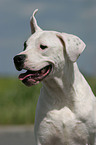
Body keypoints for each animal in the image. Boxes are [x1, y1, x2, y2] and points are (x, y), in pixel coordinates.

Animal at [13, 9, 96, 144]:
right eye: (25, 46)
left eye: (43, 46)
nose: (17, 58)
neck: (61, 94)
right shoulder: (43, 137)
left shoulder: (91, 136)